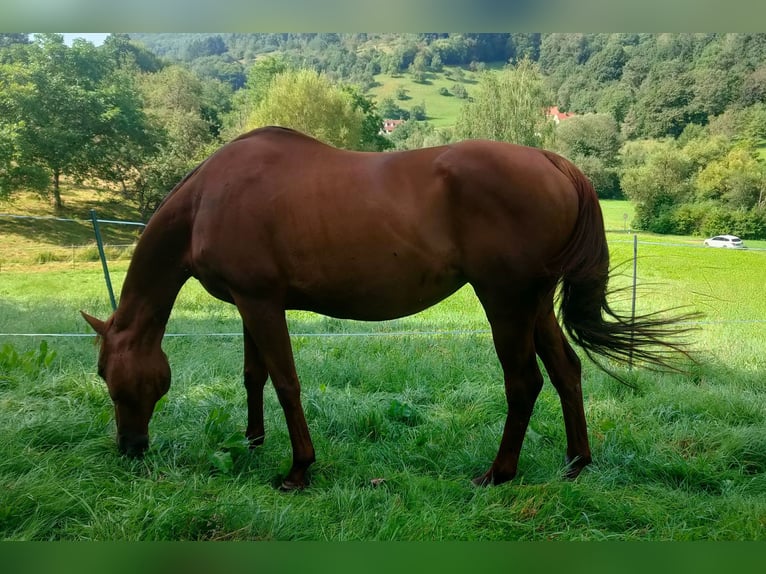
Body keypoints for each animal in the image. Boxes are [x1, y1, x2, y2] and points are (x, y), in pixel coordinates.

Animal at [81, 126, 692, 490]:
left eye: (109, 376)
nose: (131, 448)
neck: (211, 195)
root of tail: (552, 160)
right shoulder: (250, 304)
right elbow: (255, 376)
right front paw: (253, 442)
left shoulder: (261, 304)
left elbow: (286, 382)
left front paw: (298, 469)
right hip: (536, 305)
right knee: (567, 372)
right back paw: (575, 462)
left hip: (505, 304)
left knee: (525, 384)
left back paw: (498, 473)